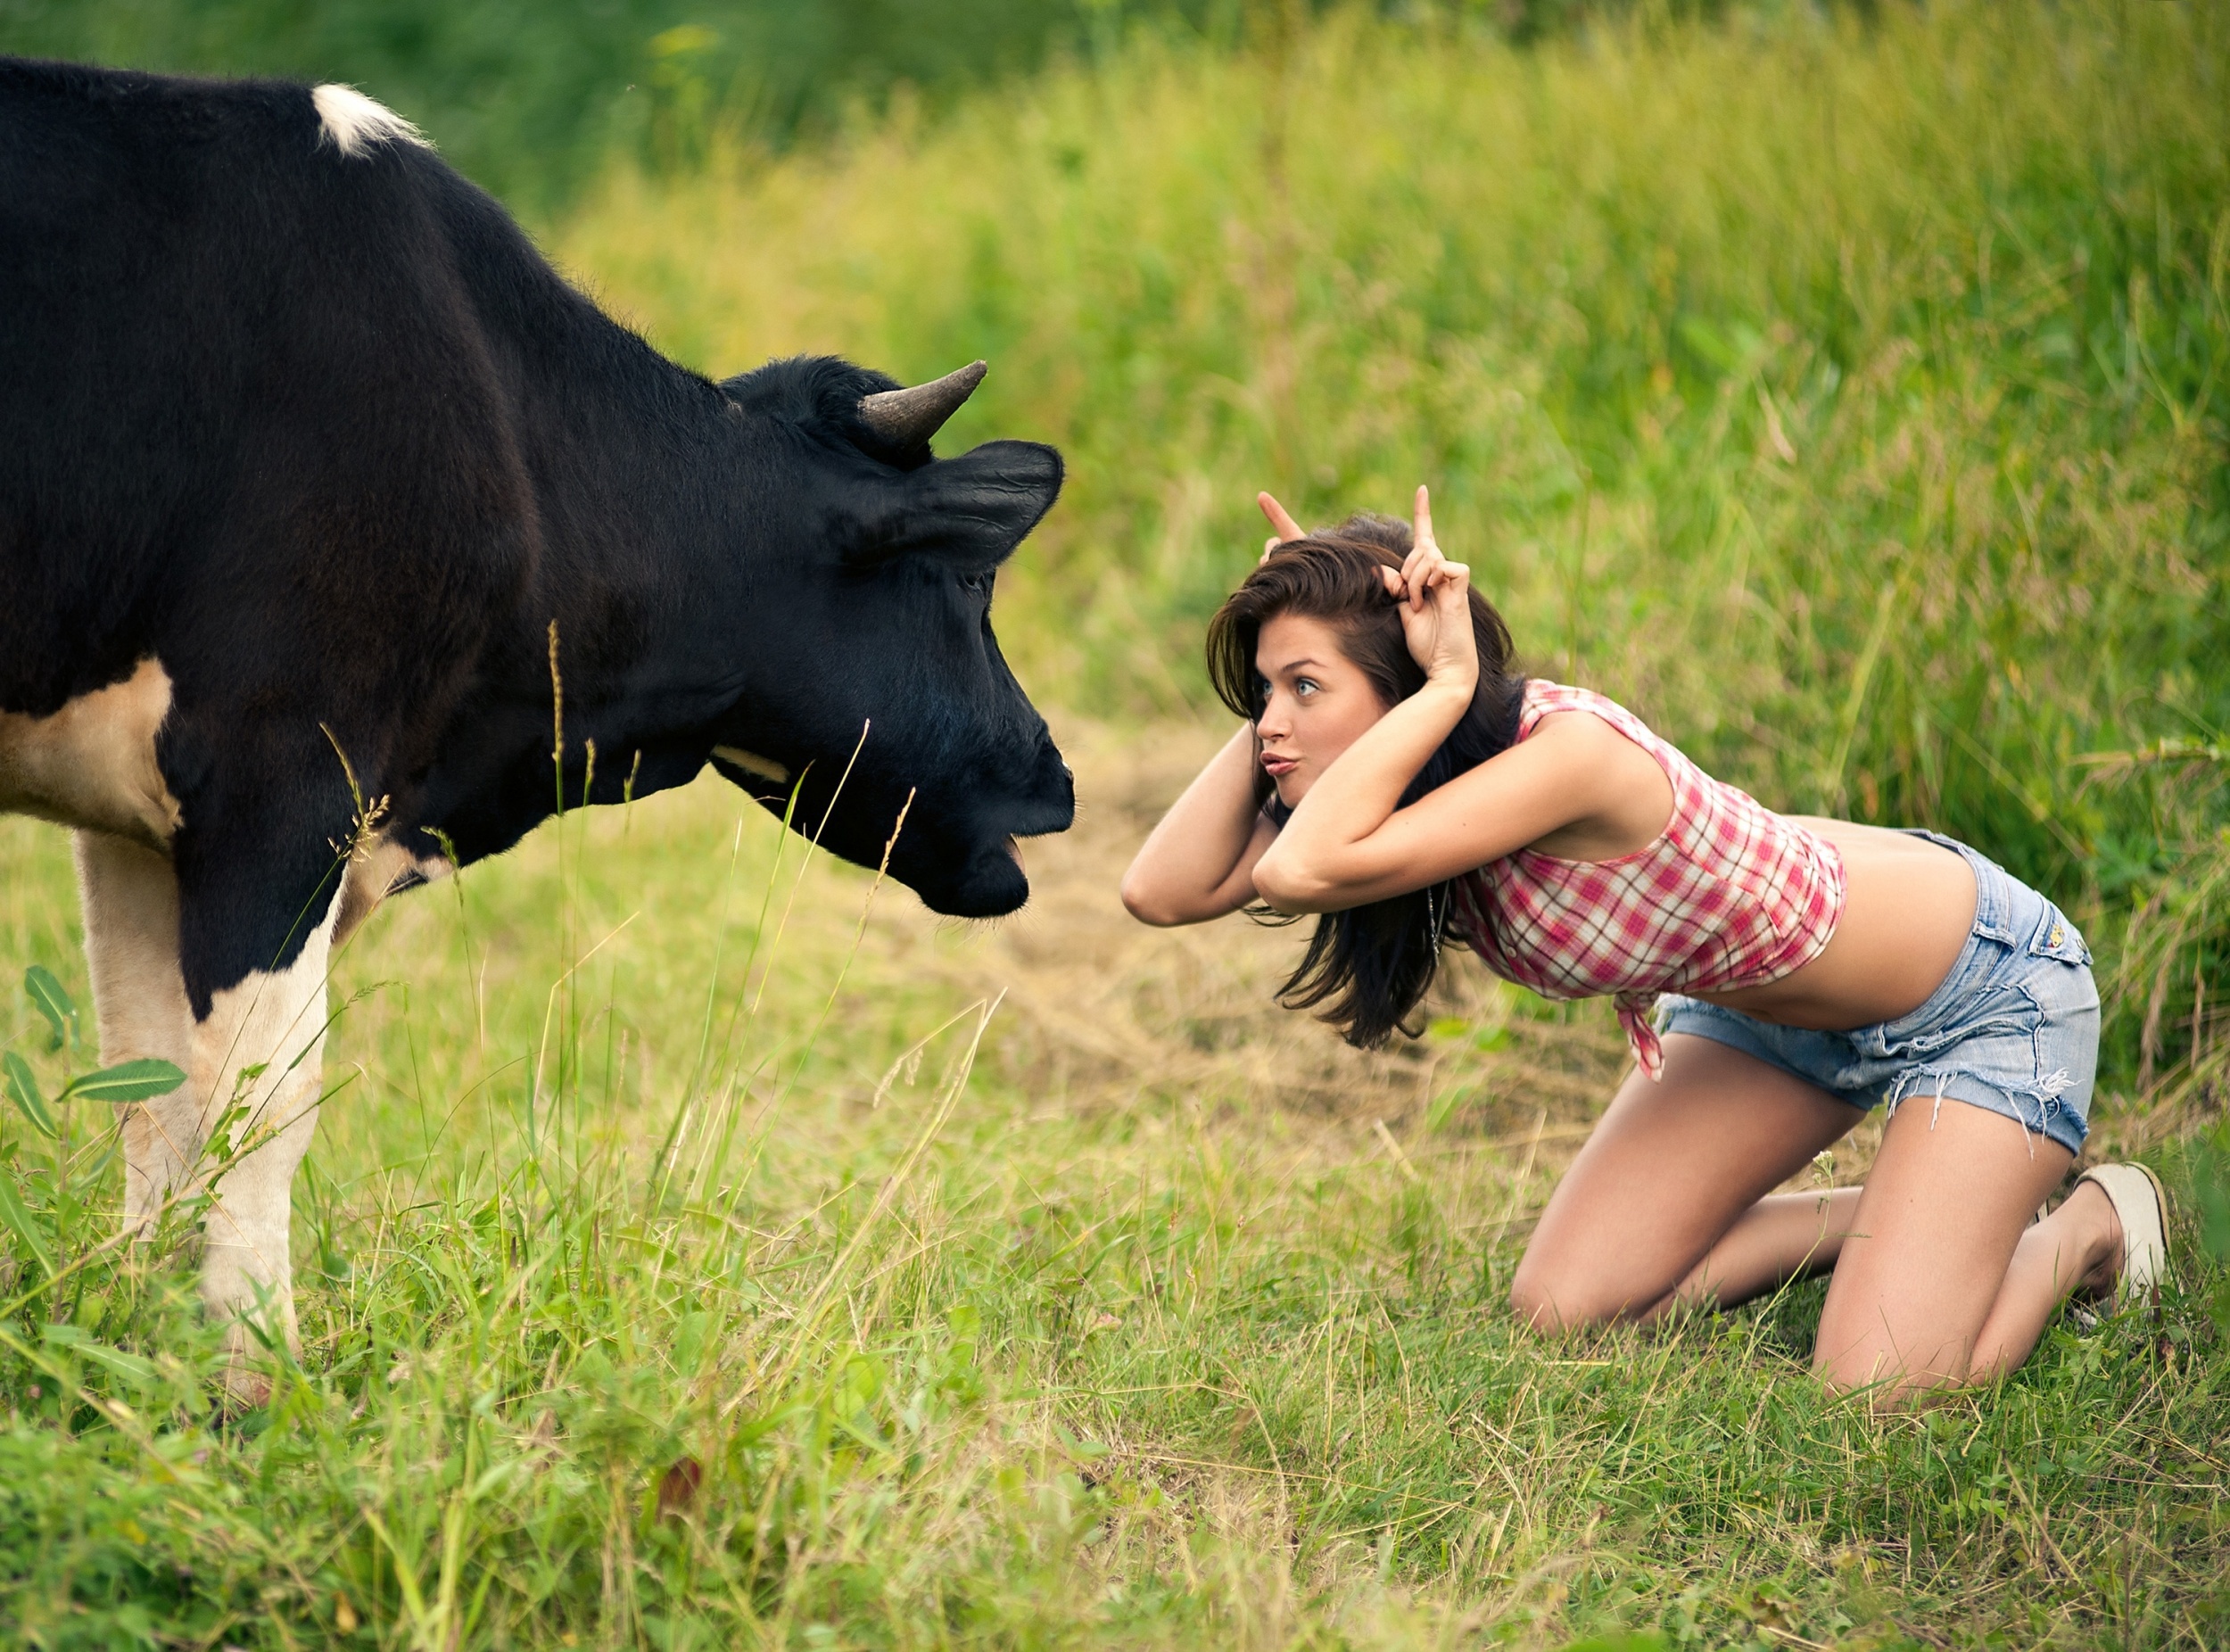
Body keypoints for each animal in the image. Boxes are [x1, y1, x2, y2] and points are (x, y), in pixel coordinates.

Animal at [0, 57, 1079, 1400]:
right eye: (972, 581)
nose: (1056, 773)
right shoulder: (280, 773)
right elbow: (263, 1102)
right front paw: (256, 1379)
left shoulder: (137, 819)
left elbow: (150, 1088)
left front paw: (140, 1344)